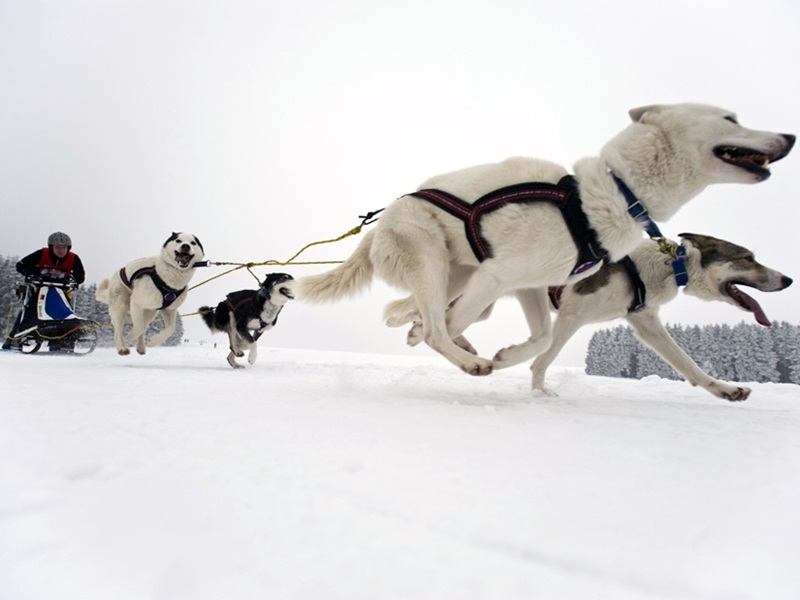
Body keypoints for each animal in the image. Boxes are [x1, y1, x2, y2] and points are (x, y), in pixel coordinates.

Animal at [298, 103, 792, 376]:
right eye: (747, 257)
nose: (786, 280)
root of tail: (380, 223)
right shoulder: (512, 284)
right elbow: (462, 332)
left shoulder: (529, 287)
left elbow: (537, 341)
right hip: (437, 266)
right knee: (438, 325)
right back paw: (465, 356)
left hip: (457, 278)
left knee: (406, 312)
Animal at [384, 232, 792, 400]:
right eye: (748, 258)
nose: (787, 279)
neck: (664, 265)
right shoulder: (573, 314)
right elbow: (542, 357)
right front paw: (539, 391)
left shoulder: (646, 323)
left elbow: (689, 366)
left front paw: (726, 389)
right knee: (431, 316)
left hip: (484, 304)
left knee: (439, 318)